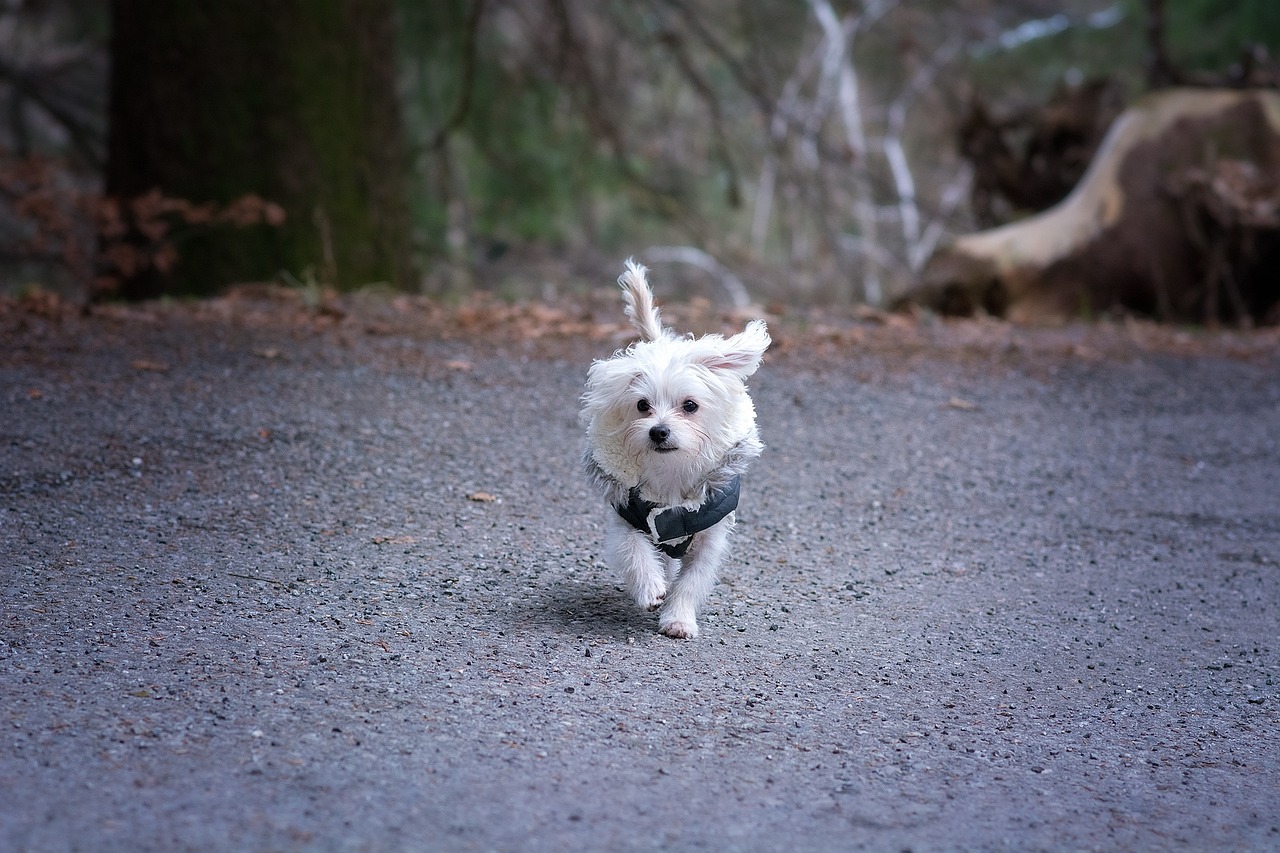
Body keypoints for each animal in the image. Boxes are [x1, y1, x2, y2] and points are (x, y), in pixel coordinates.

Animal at [583, 262, 768, 635]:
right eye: (642, 405)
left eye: (690, 406)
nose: (659, 432)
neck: (670, 474)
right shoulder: (627, 515)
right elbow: (634, 551)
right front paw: (651, 589)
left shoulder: (709, 537)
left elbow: (692, 581)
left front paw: (678, 618)